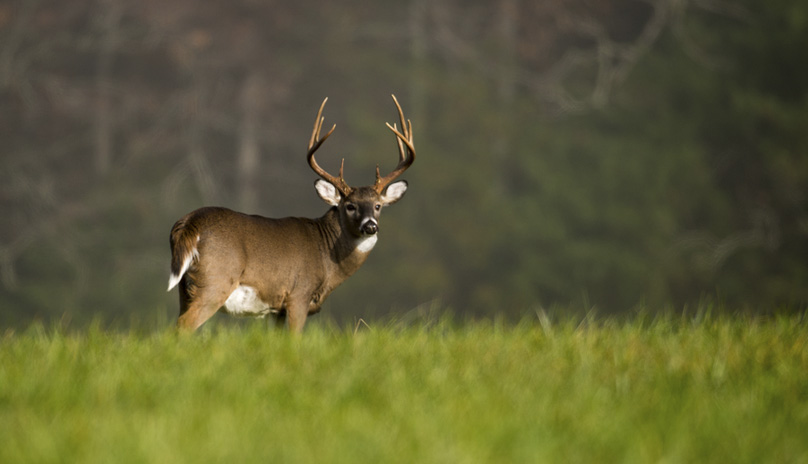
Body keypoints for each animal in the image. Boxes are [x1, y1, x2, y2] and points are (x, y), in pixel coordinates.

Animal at [166, 95, 415, 334]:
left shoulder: (276, 308)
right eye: (350, 206)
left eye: (378, 206)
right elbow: (294, 337)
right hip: (214, 282)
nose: (370, 225)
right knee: (184, 325)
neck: (327, 258)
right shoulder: (299, 295)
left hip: (184, 289)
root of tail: (189, 223)